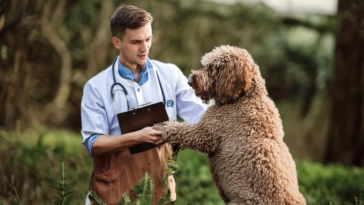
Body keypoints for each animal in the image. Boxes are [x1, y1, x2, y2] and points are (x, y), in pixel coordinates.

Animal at [153, 45, 304, 205]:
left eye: (213, 68)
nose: (189, 80)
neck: (244, 97)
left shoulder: (206, 133)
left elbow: (181, 130)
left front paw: (163, 126)